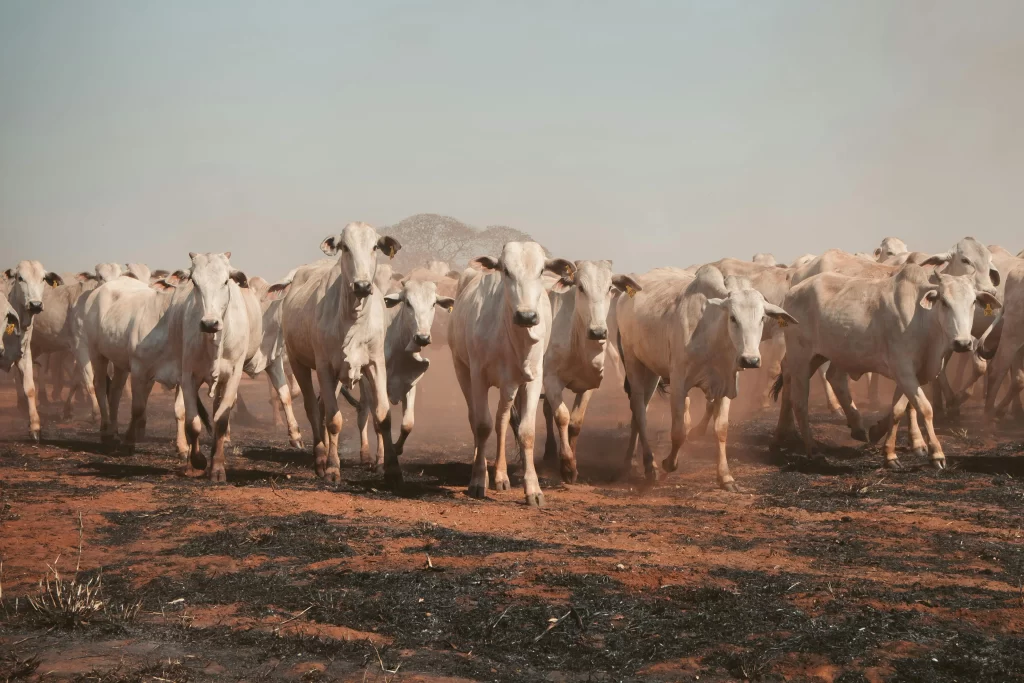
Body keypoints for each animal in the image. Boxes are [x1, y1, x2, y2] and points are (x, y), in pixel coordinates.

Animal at [284, 222, 407, 483]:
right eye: (345, 247)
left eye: (374, 247)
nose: (362, 285)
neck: (353, 317)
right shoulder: (324, 367)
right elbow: (334, 420)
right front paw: (332, 467)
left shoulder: (375, 364)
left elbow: (383, 415)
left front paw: (393, 469)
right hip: (298, 361)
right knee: (313, 409)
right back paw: (320, 459)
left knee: (321, 406)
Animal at [448, 242, 577, 505]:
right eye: (506, 271)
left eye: (541, 271)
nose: (526, 315)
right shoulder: (478, 376)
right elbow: (482, 425)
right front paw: (478, 481)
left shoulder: (532, 380)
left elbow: (525, 431)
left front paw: (533, 490)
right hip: (462, 369)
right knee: (476, 418)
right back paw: (484, 473)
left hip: (510, 385)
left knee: (502, 420)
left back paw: (500, 476)